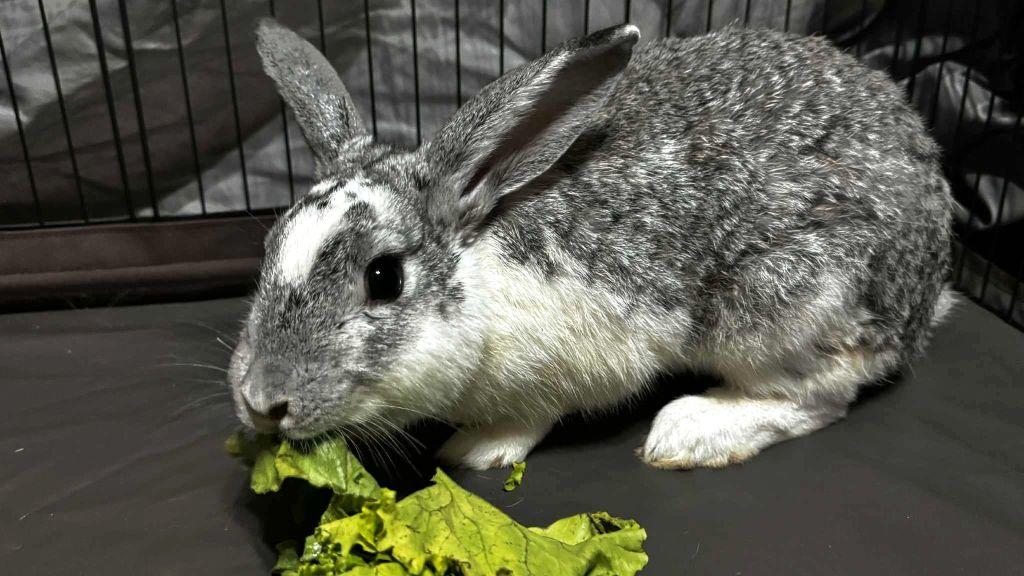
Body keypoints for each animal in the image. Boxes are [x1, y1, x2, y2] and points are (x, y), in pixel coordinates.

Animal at [227, 18, 954, 471]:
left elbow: (535, 416)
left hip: (783, 306)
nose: (262, 402)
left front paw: (476, 450)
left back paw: (689, 434)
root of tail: (927, 288)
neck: (478, 253)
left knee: (822, 396)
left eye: (384, 278)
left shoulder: (584, 360)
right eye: (270, 248)